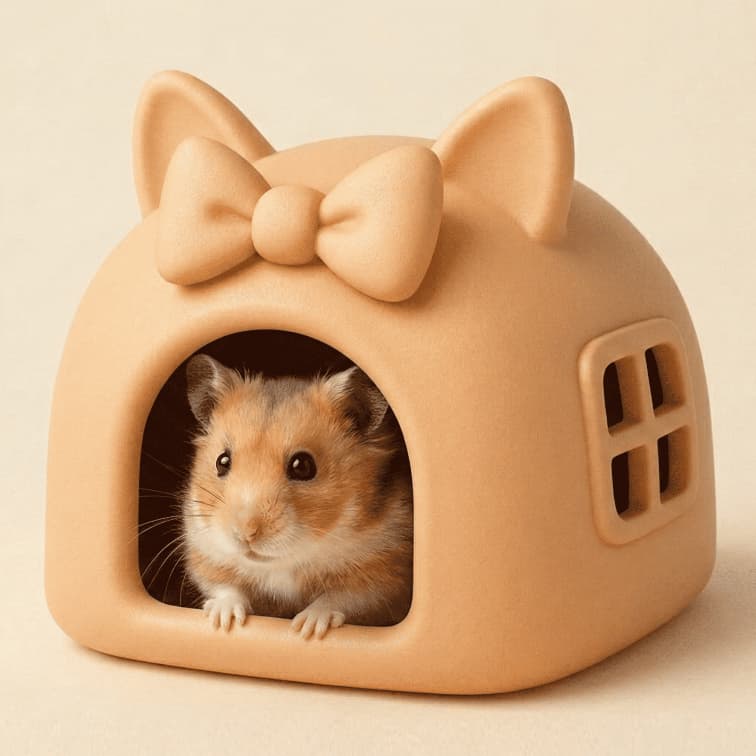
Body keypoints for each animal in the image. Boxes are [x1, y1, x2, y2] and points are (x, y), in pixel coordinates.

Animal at [181, 354, 413, 639]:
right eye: (222, 462)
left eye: (303, 466)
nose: (245, 534)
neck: (288, 558)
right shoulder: (205, 551)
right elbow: (225, 588)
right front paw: (224, 621)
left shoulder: (384, 576)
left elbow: (340, 598)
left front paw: (307, 629)